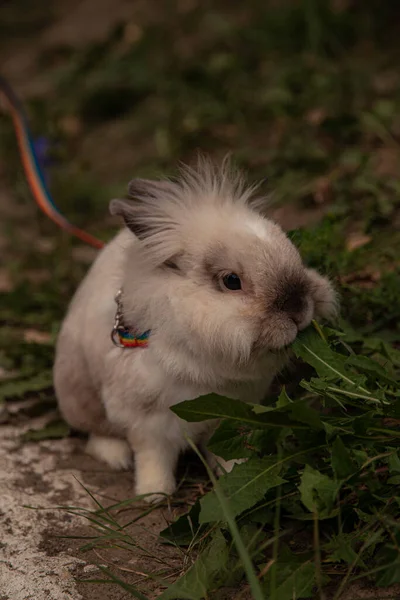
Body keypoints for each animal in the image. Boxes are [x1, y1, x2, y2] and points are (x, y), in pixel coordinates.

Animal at [54, 158, 338, 502]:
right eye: (231, 281)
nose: (299, 309)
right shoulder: (145, 422)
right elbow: (153, 458)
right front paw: (154, 493)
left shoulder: (229, 413)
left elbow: (223, 449)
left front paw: (233, 470)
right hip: (79, 397)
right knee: (96, 433)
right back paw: (116, 456)